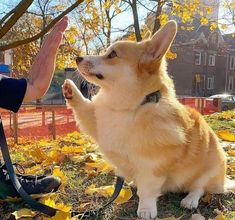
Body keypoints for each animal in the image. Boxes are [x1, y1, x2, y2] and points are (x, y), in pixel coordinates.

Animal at [61, 21, 230, 220]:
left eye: (112, 54)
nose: (77, 58)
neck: (131, 107)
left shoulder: (153, 165)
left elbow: (148, 190)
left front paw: (146, 210)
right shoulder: (96, 120)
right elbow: (83, 107)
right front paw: (70, 90)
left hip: (211, 167)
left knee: (200, 187)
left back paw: (190, 200)